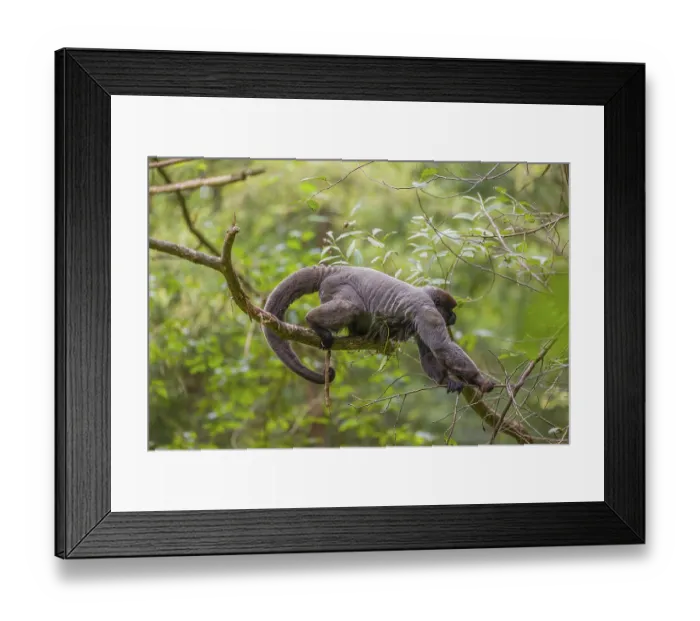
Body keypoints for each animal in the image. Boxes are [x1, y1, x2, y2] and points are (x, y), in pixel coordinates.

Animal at [262, 265, 495, 394]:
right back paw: (313, 321)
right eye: (450, 310)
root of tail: (333, 269)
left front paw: (448, 381)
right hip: (336, 285)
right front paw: (480, 380)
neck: (425, 295)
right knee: (352, 307)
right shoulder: (427, 311)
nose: (454, 317)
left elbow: (429, 354)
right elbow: (442, 346)